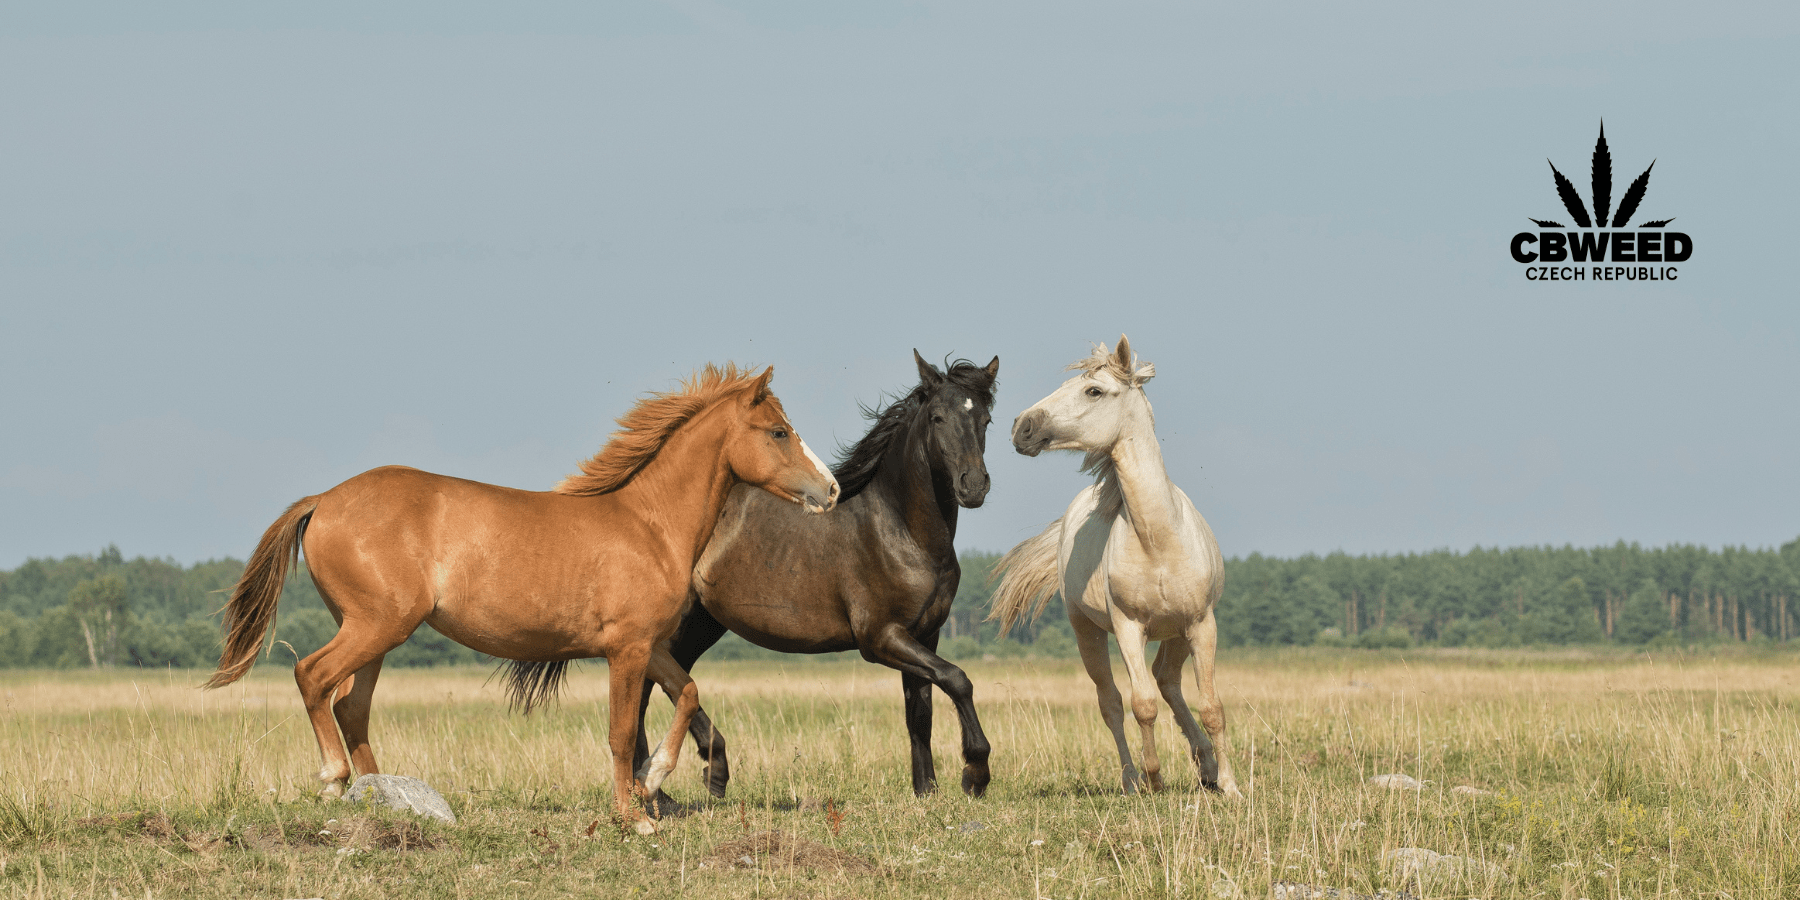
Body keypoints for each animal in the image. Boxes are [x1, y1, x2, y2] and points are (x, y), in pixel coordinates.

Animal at [204, 363, 835, 828]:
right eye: (778, 431)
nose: (829, 489)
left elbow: (687, 693)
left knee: (350, 706)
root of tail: (323, 500)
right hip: (375, 626)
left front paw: (655, 778)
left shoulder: (649, 646)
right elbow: (620, 731)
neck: (648, 525)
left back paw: (382, 795)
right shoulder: (626, 650)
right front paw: (633, 817)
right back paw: (335, 781)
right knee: (313, 677)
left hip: (376, 635)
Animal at [633, 352, 1000, 802]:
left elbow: (921, 712)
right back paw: (681, 779)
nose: (974, 486)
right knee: (651, 684)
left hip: (702, 623)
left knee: (665, 681)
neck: (902, 532)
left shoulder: (924, 635)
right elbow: (957, 679)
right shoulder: (881, 638)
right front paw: (975, 773)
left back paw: (672, 784)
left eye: (985, 419)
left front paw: (926, 791)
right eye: (937, 417)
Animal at [986, 336, 1238, 795]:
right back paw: (1132, 778)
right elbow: (1142, 704)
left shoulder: (1201, 624)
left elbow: (1212, 706)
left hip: (1177, 633)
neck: (1158, 541)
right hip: (1087, 631)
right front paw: (1154, 779)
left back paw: (1206, 766)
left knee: (1168, 681)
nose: (1021, 427)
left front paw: (1229, 785)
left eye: (1094, 391)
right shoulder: (1127, 627)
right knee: (1113, 703)